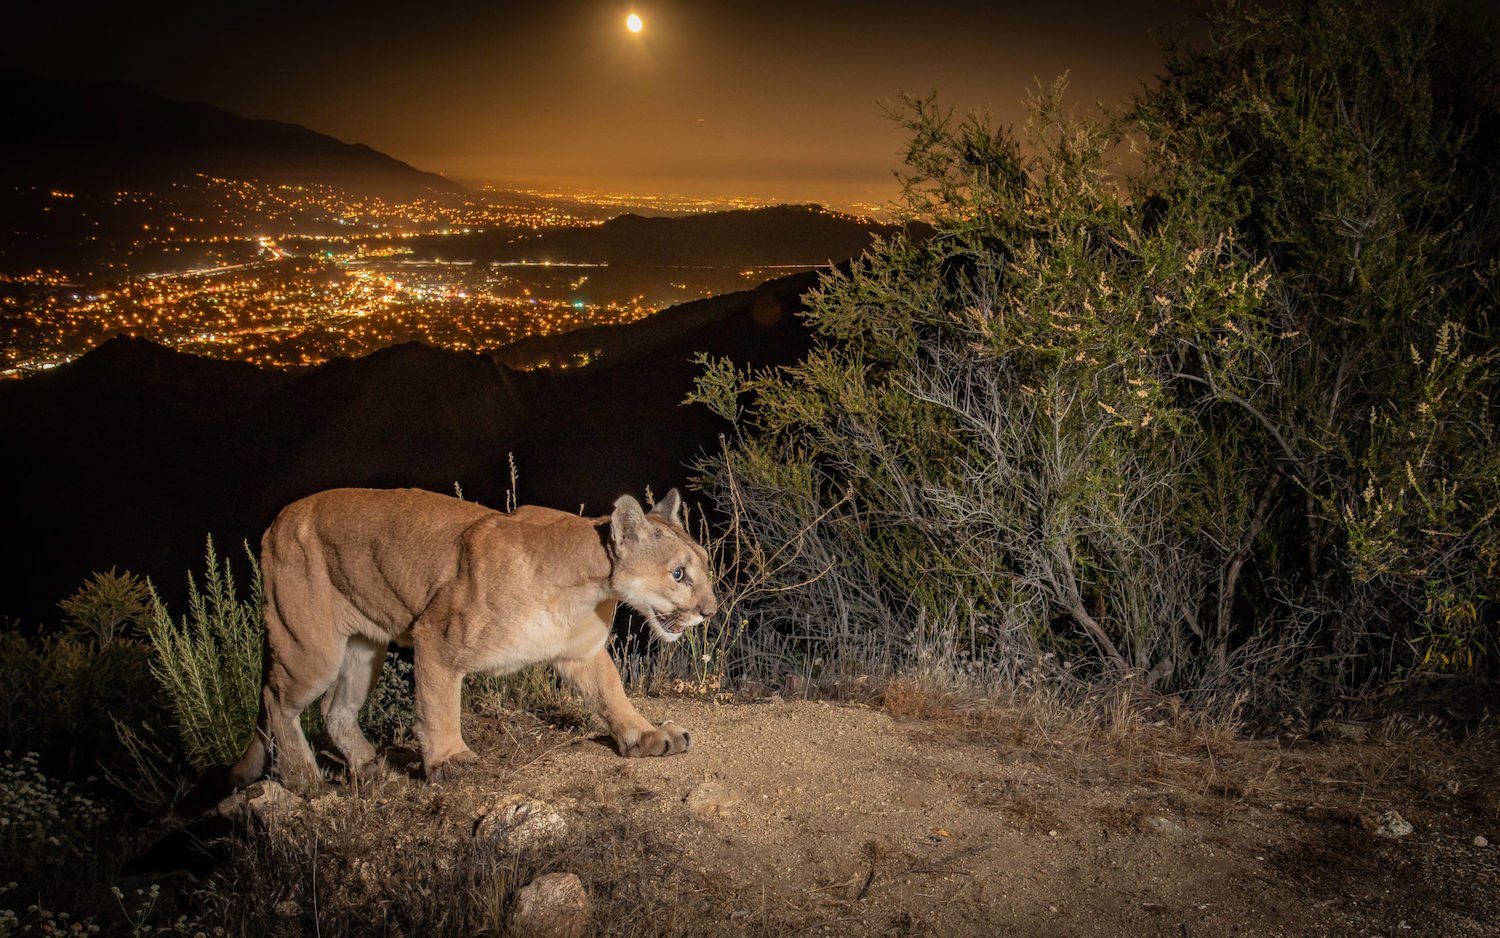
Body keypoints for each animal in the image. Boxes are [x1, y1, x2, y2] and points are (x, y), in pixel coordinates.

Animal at [228, 486, 714, 792]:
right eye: (678, 574)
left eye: (705, 566)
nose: (710, 611)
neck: (586, 585)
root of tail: (278, 520)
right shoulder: (437, 637)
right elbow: (439, 704)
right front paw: (449, 760)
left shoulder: (580, 652)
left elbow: (613, 694)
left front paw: (646, 735)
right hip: (310, 647)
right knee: (276, 701)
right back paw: (305, 779)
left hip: (364, 649)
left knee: (335, 710)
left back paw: (370, 765)